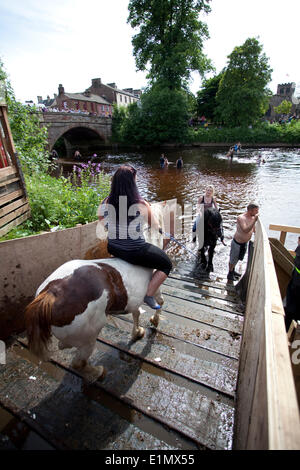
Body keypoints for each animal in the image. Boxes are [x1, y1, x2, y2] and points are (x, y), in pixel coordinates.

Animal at [24, 204, 166, 380]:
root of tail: (51, 294)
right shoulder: (154, 289)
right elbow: (159, 302)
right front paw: (154, 321)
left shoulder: (134, 300)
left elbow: (136, 313)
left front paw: (138, 332)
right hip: (90, 336)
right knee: (79, 363)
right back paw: (98, 372)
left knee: (65, 345)